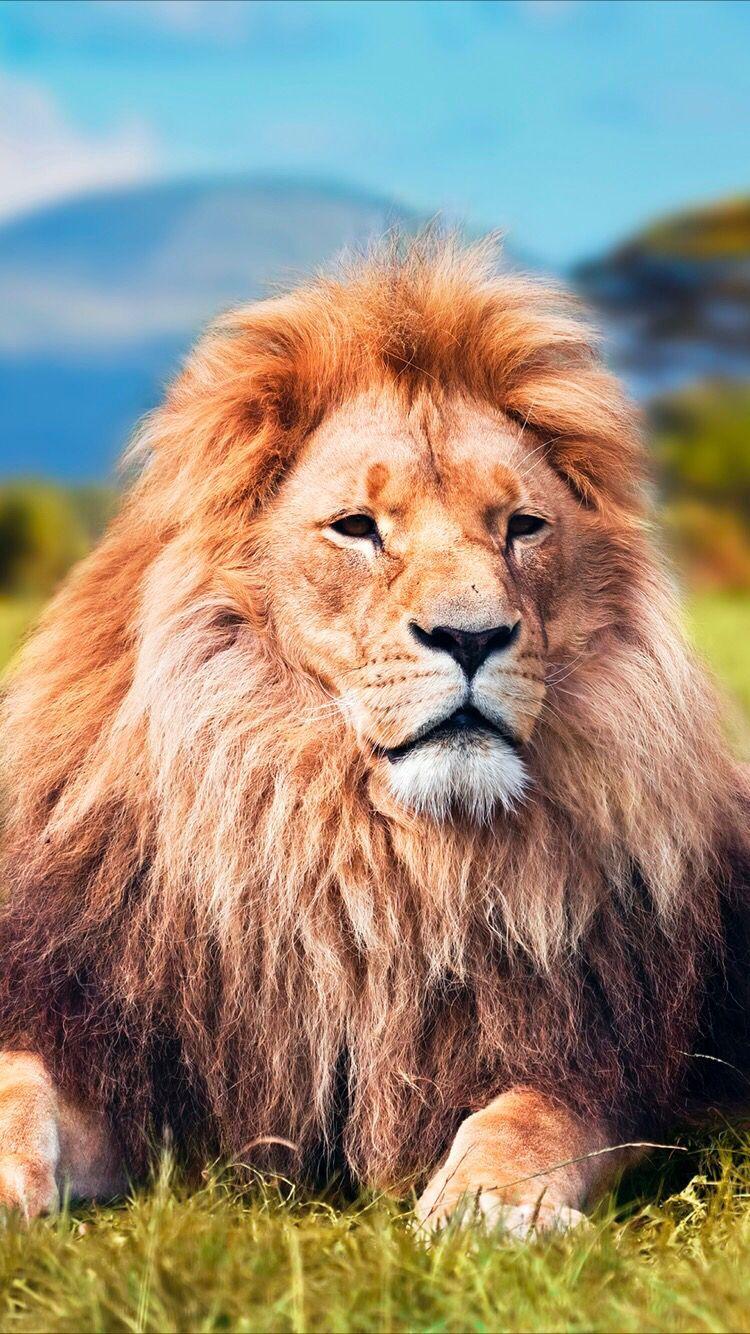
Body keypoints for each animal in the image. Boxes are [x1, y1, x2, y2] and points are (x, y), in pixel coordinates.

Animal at [0, 237, 747, 1232]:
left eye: (523, 527)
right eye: (357, 528)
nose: (471, 636)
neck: (367, 854)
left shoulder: (609, 1063)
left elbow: (532, 1118)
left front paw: (484, 1207)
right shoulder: (121, 1039)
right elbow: (20, 1085)